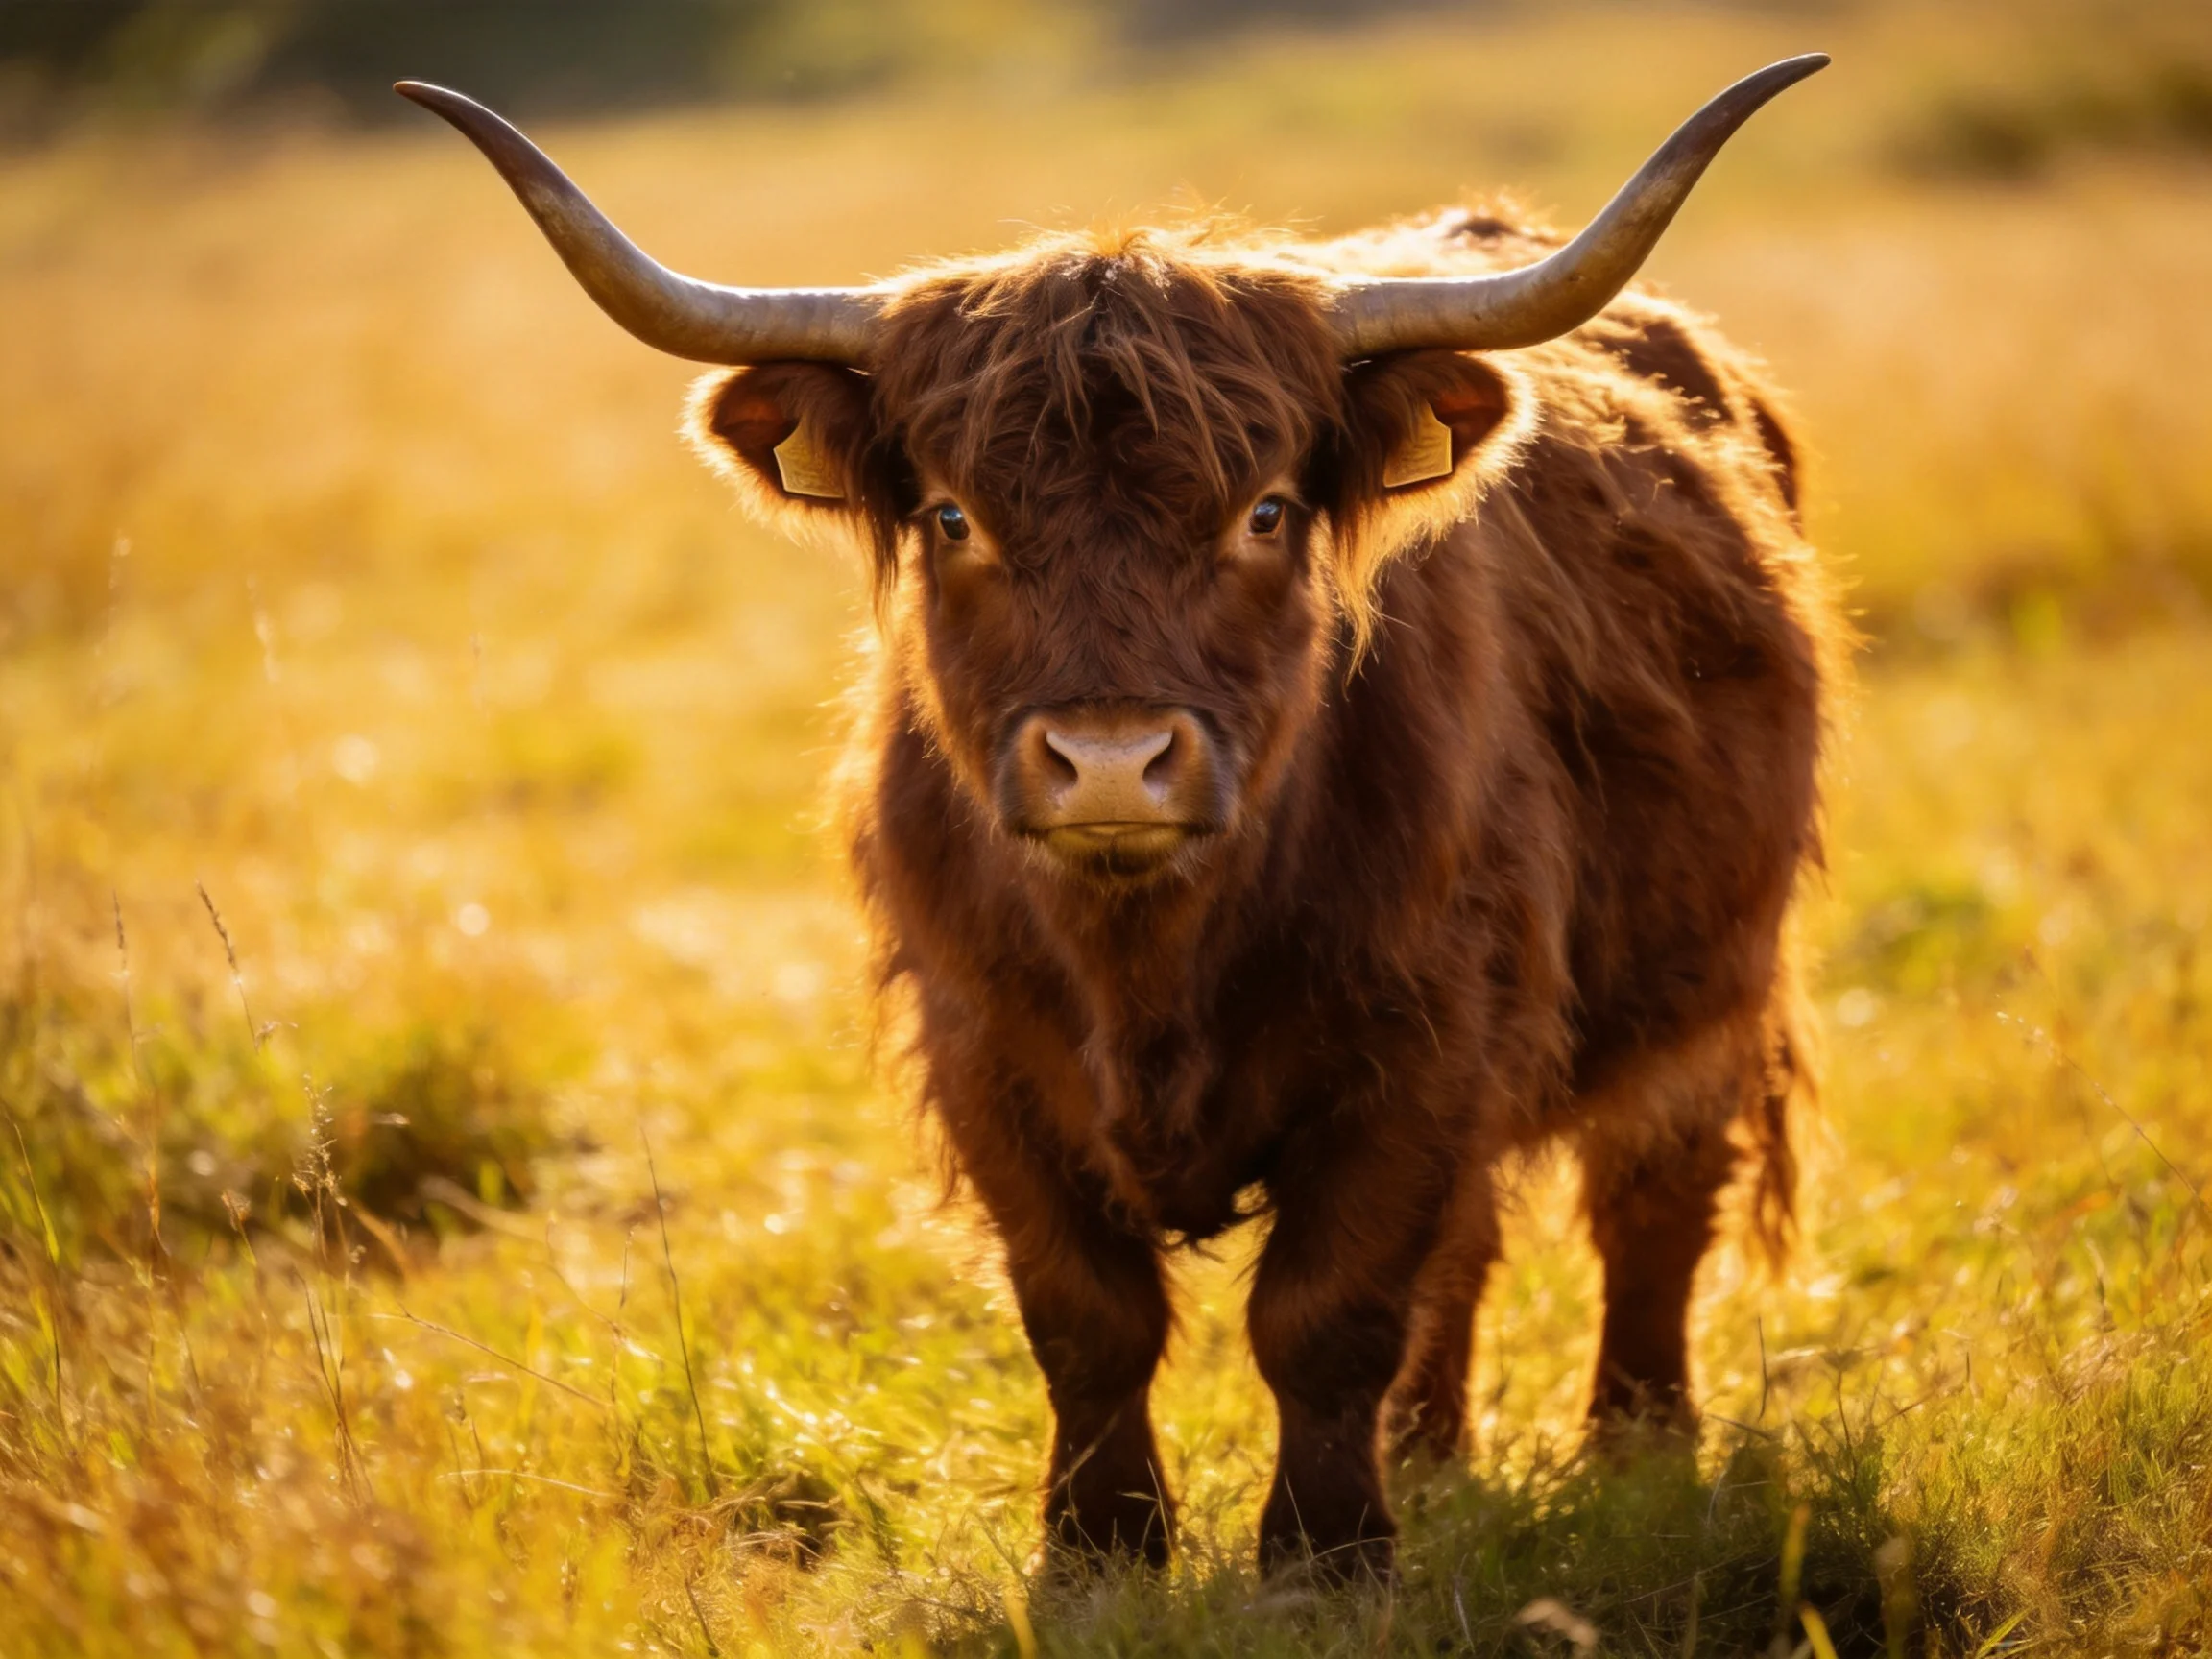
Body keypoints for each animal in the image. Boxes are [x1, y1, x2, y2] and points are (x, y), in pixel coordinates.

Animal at [401, 55, 1841, 1583]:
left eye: (1265, 511)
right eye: (955, 517)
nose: (1106, 762)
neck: (1149, 959)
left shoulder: (1429, 1039)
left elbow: (1328, 1313)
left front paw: (1325, 1559)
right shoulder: (984, 1050)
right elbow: (1087, 1317)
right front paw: (1100, 1547)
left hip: (1713, 981)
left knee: (1650, 1210)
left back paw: (1641, 1452)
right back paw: (1436, 1458)